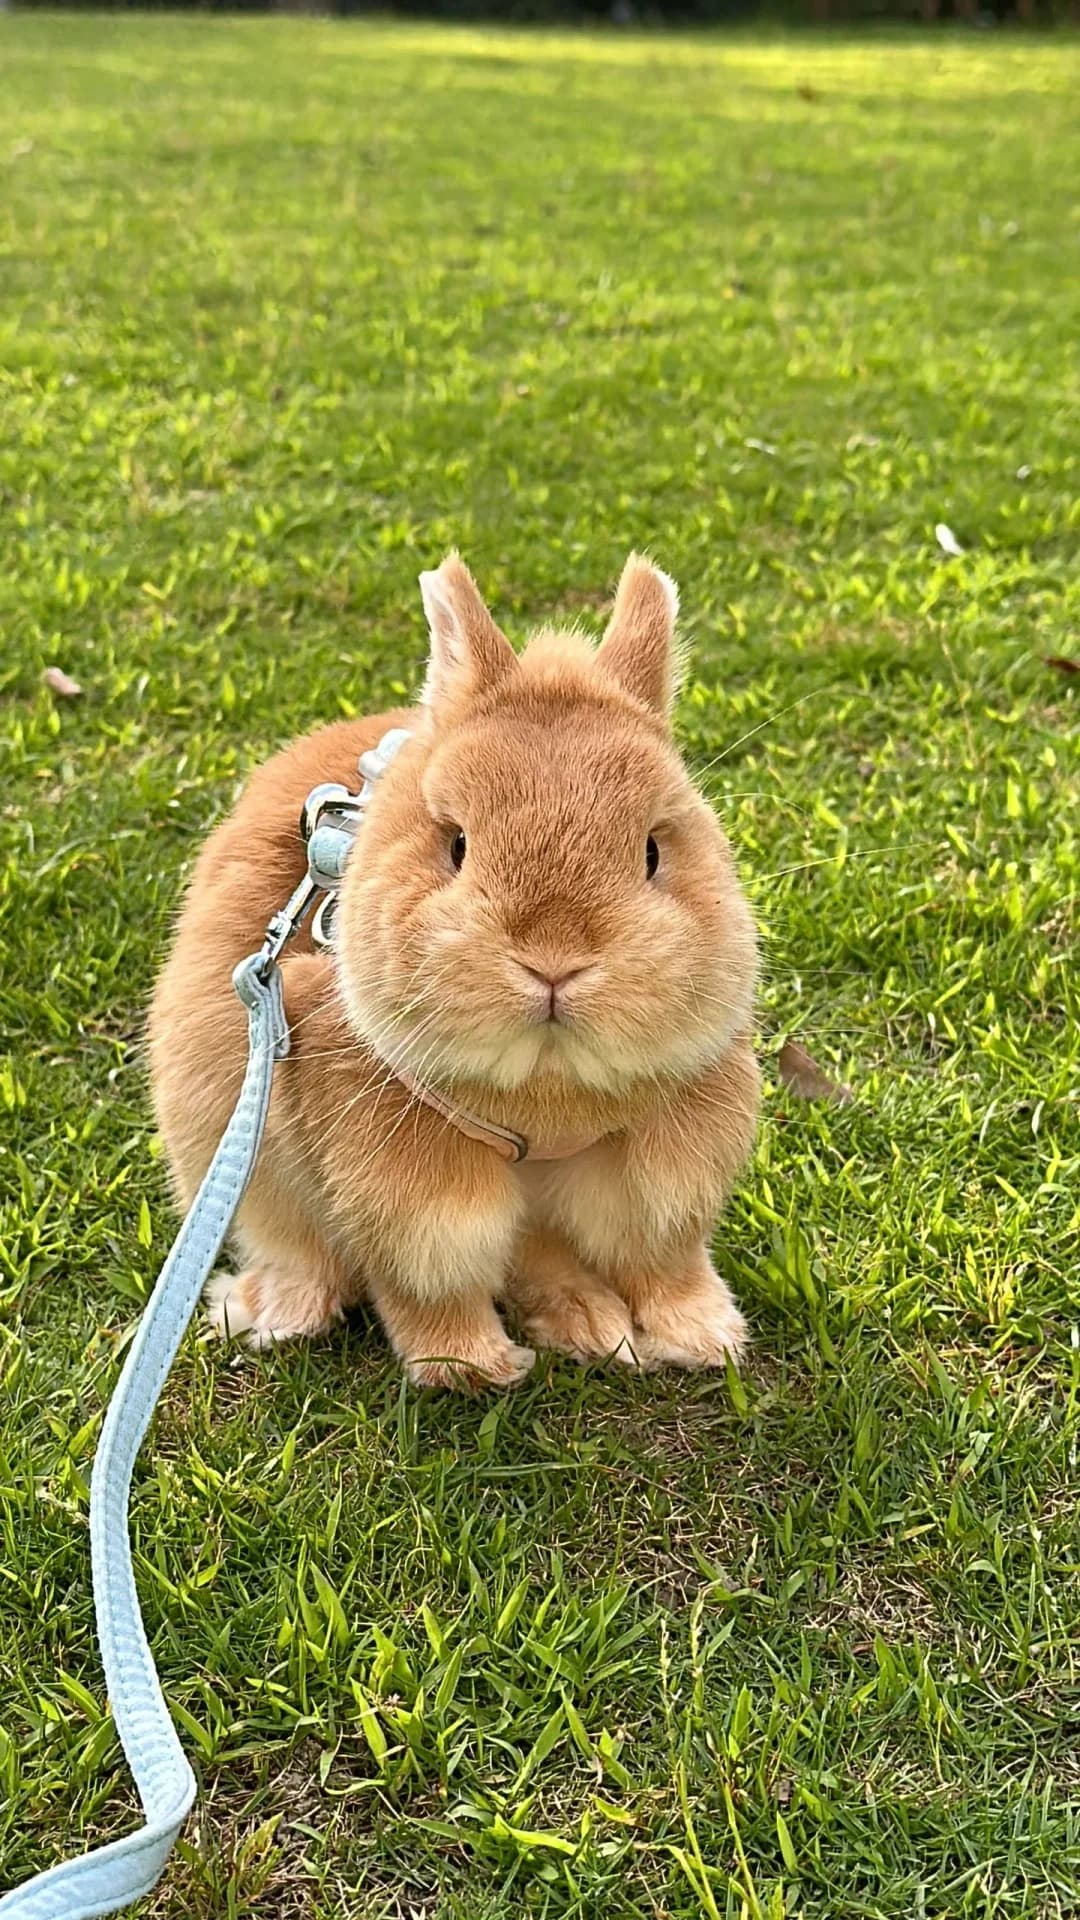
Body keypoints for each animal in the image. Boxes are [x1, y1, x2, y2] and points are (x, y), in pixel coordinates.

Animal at [148, 554, 760, 1390]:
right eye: (458, 845)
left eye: (653, 852)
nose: (554, 961)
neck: (546, 1095)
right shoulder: (409, 1193)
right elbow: (429, 1279)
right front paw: (472, 1367)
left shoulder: (659, 1173)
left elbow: (662, 1256)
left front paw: (705, 1336)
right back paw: (273, 1313)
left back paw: (592, 1325)